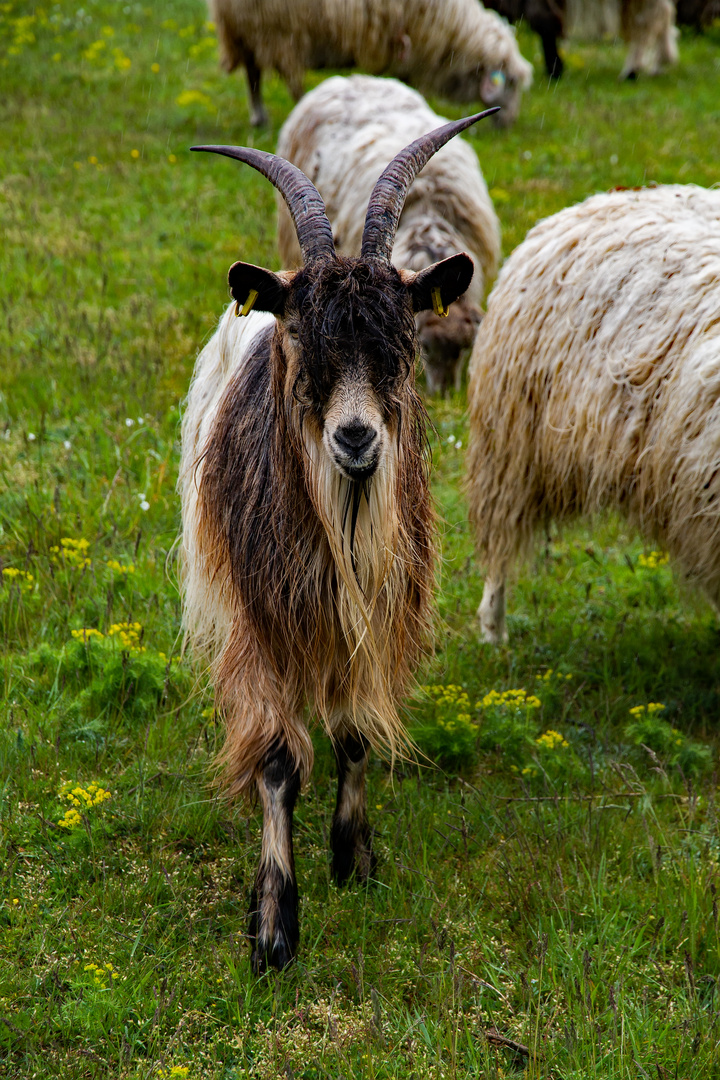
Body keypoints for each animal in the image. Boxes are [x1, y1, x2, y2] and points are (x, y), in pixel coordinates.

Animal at [180, 107, 496, 972]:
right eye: (302, 341)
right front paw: (274, 927)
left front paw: (353, 856)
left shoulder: (373, 618)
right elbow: (278, 762)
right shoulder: (258, 619)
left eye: (402, 343)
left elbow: (354, 734)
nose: (356, 438)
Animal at [205, 0, 533, 127]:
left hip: (247, 32)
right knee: (286, 78)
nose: (509, 121)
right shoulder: (410, 47)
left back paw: (259, 117)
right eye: (509, 83)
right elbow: (407, 84)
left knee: (253, 74)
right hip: (278, 29)